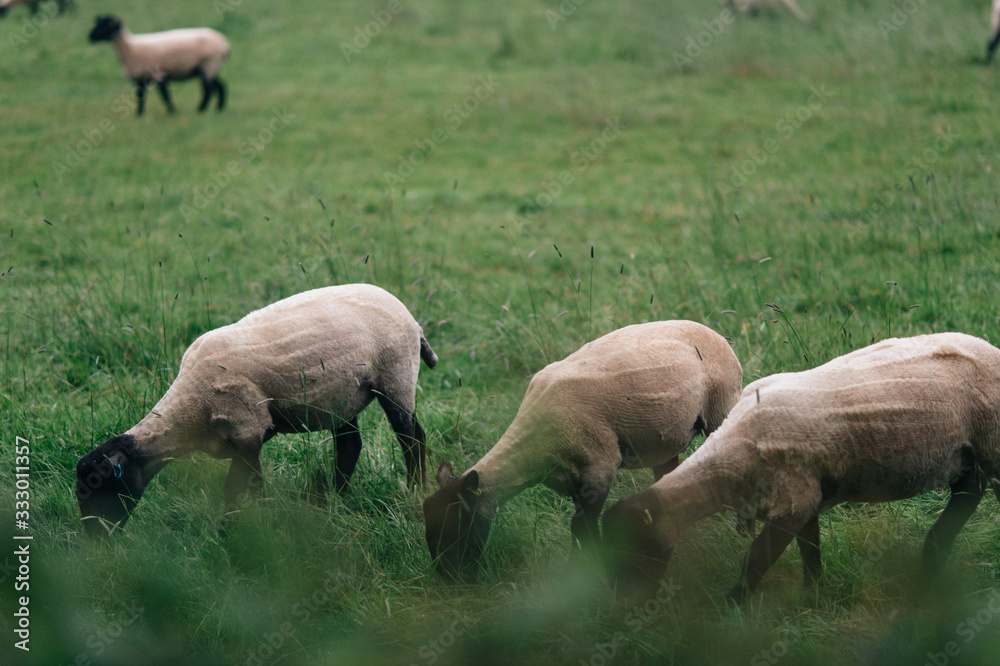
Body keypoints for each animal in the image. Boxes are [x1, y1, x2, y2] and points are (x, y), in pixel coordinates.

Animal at [76, 283, 438, 537]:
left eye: (99, 485)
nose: (95, 542)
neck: (188, 412)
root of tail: (413, 320)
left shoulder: (248, 430)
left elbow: (243, 487)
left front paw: (239, 529)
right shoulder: (239, 439)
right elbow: (240, 487)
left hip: (396, 377)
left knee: (412, 438)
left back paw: (414, 492)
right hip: (343, 396)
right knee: (350, 445)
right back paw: (332, 500)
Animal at [88, 15, 231, 116]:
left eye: (105, 25)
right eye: (98, 24)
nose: (89, 37)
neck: (129, 48)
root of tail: (224, 44)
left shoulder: (158, 74)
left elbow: (164, 95)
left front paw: (172, 111)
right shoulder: (141, 77)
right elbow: (141, 96)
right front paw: (139, 114)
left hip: (209, 64)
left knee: (208, 89)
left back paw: (201, 109)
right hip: (209, 67)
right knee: (220, 86)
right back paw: (219, 108)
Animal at [422, 320, 743, 580]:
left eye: (457, 524)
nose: (447, 576)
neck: (532, 451)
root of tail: (716, 334)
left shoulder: (599, 468)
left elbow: (582, 528)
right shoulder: (572, 480)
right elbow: (581, 527)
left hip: (721, 406)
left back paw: (741, 533)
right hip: (665, 441)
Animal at [603, 332, 1000, 603]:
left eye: (635, 553)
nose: (620, 608)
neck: (727, 461)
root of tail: (987, 346)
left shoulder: (792, 504)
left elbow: (755, 560)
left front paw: (730, 608)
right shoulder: (805, 498)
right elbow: (811, 552)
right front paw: (813, 596)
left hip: (991, 441)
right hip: (966, 452)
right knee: (968, 492)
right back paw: (933, 556)